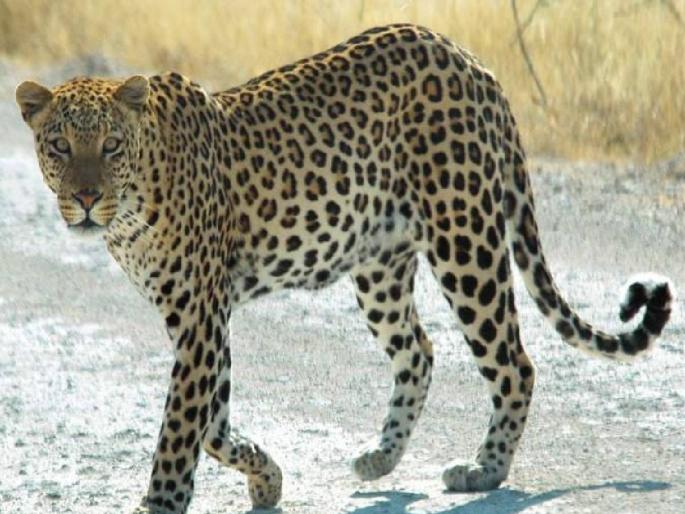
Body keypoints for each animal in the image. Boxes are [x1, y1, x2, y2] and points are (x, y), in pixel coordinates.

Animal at [16, 23, 674, 514]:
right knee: (419, 350)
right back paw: (380, 457)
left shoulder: (199, 316)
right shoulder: (203, 318)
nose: (85, 199)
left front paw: (163, 502)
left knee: (514, 361)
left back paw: (484, 469)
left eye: (110, 147)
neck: (132, 206)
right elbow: (213, 424)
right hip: (379, 266)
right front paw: (267, 479)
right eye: (59, 148)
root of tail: (470, 61)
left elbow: (181, 430)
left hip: (466, 240)